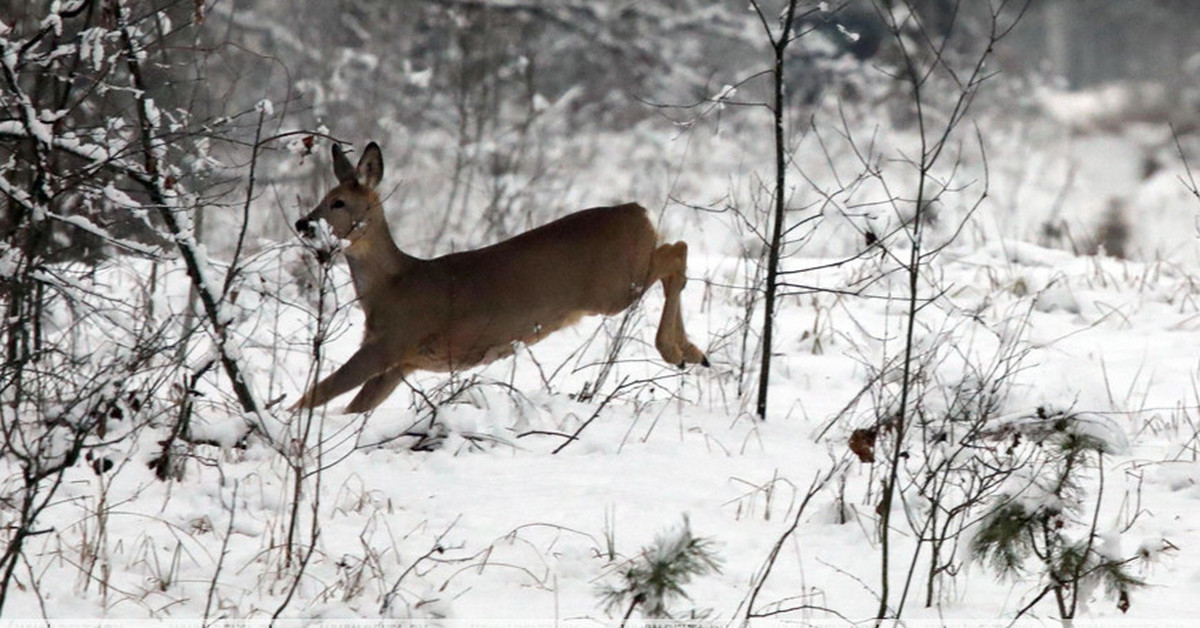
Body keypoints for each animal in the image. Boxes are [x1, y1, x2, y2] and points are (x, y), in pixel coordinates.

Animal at [292, 143, 700, 417]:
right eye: (323, 197)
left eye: (338, 202)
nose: (303, 223)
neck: (391, 286)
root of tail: (638, 211)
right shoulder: (402, 363)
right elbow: (353, 407)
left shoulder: (392, 340)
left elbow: (319, 392)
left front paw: (283, 421)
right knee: (675, 252)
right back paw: (694, 353)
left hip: (615, 286)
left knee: (675, 250)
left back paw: (676, 350)